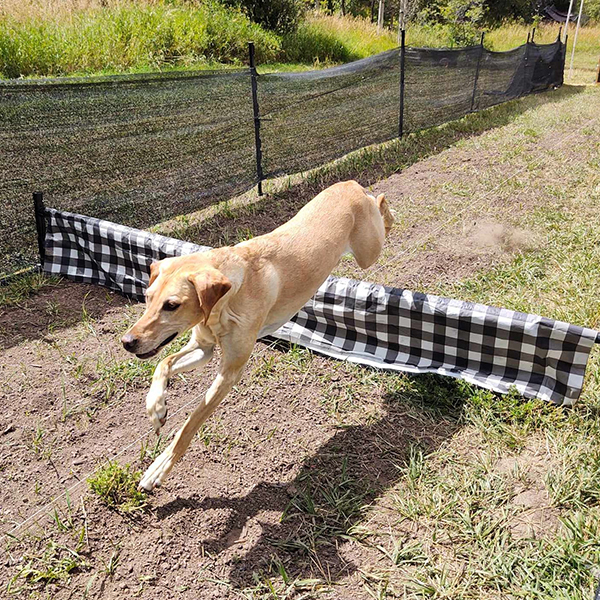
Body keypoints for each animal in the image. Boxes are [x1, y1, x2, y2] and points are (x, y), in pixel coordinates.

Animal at [121, 180, 394, 490]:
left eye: (172, 305)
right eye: (147, 297)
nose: (127, 342)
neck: (225, 301)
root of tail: (351, 183)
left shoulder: (230, 371)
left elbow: (191, 423)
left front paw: (160, 467)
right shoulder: (204, 348)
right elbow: (162, 364)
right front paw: (156, 408)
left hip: (368, 251)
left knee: (382, 209)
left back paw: (387, 207)